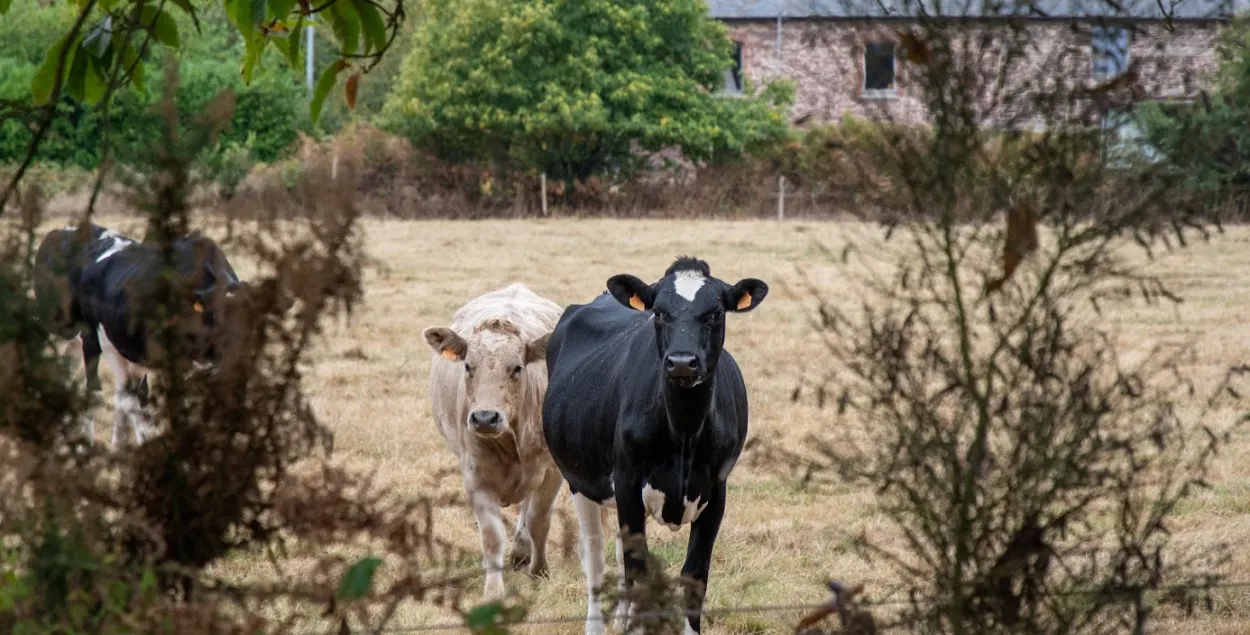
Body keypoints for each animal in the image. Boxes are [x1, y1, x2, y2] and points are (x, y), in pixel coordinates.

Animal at [542, 256, 765, 635]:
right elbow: (637, 572)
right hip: (579, 481)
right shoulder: (628, 482)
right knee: (595, 558)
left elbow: (694, 576)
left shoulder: (717, 490)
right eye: (659, 312)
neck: (684, 433)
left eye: (716, 313)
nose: (682, 362)